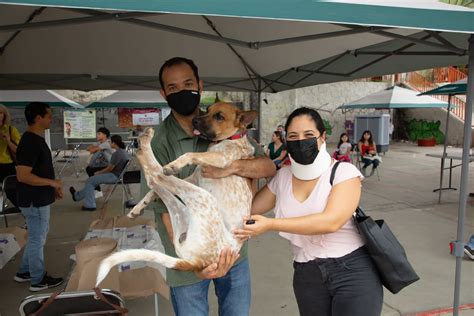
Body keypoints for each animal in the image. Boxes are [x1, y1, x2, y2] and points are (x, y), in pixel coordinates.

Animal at [96, 102, 258, 286]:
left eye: (219, 116)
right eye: (208, 109)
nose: (194, 121)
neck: (229, 139)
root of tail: (196, 262)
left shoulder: (221, 159)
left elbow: (190, 154)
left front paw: (175, 164)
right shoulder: (194, 177)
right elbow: (152, 192)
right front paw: (140, 206)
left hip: (203, 197)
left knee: (156, 175)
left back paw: (146, 145)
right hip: (184, 208)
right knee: (156, 181)